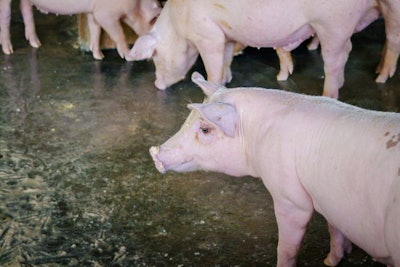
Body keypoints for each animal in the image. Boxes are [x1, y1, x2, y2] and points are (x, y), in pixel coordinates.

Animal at [131, 0, 400, 99]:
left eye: (155, 57)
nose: (157, 84)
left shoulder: (208, 36)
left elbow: (212, 69)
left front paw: (210, 93)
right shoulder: (226, 35)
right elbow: (226, 60)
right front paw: (227, 81)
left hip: (332, 24)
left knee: (336, 59)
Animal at [149, 71, 400, 267]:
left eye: (204, 129)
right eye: (188, 119)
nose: (154, 152)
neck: (255, 133)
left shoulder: (289, 195)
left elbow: (287, 246)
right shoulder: (329, 198)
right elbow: (334, 228)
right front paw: (330, 261)